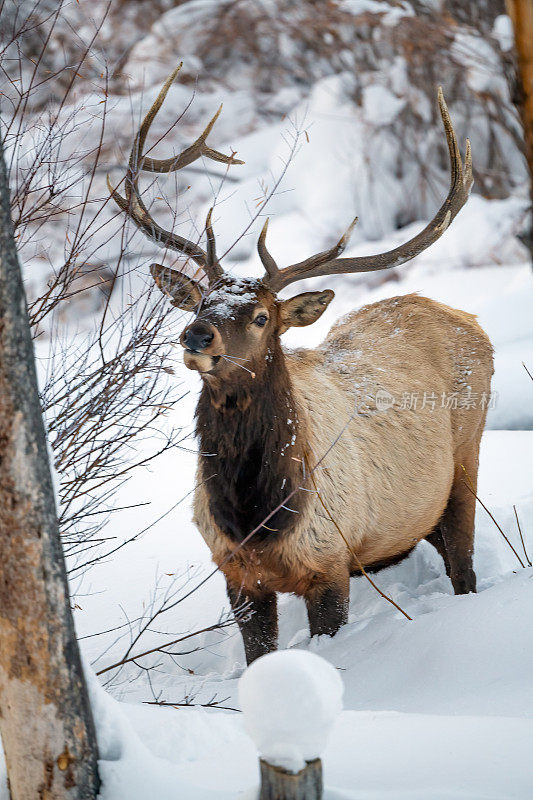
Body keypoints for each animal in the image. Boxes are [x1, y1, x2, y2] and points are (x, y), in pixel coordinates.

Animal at [109, 64, 494, 664]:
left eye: (262, 315)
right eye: (200, 302)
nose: (196, 334)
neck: (255, 516)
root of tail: (465, 317)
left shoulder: (329, 561)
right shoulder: (237, 575)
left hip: (464, 462)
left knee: (464, 569)